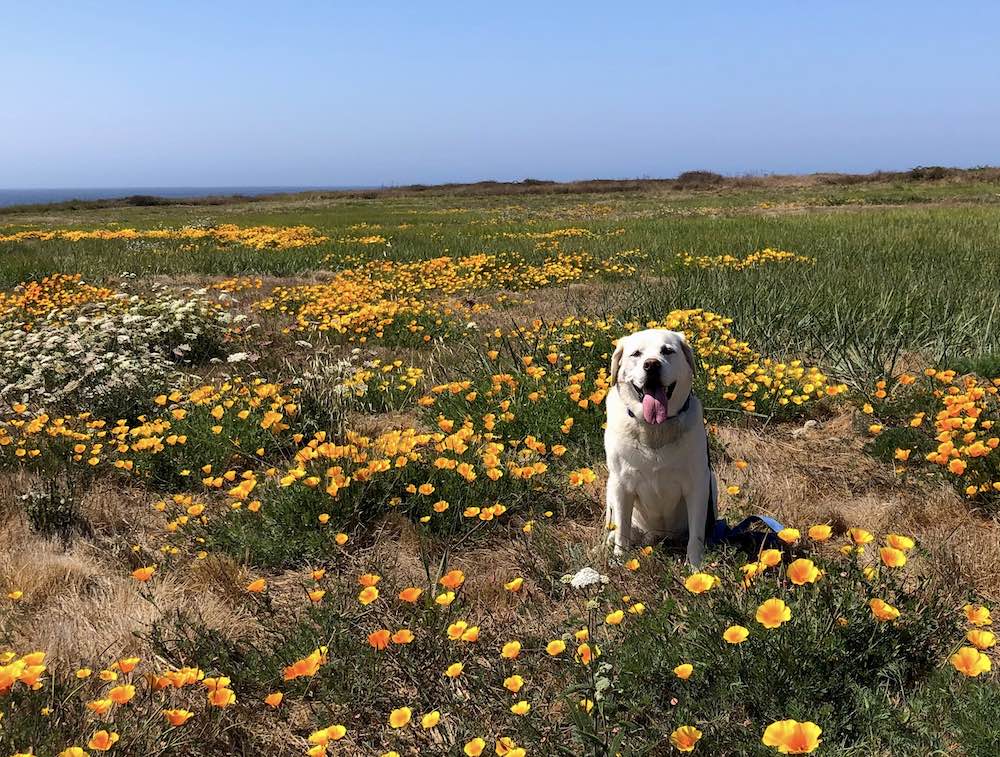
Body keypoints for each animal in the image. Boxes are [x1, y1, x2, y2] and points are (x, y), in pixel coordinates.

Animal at [600, 328, 720, 564]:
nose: (652, 365)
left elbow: (696, 535)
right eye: (636, 353)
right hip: (610, 488)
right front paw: (620, 560)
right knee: (615, 527)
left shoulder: (698, 484)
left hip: (713, 483)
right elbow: (622, 530)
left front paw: (695, 566)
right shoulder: (621, 483)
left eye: (667, 350)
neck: (655, 429)